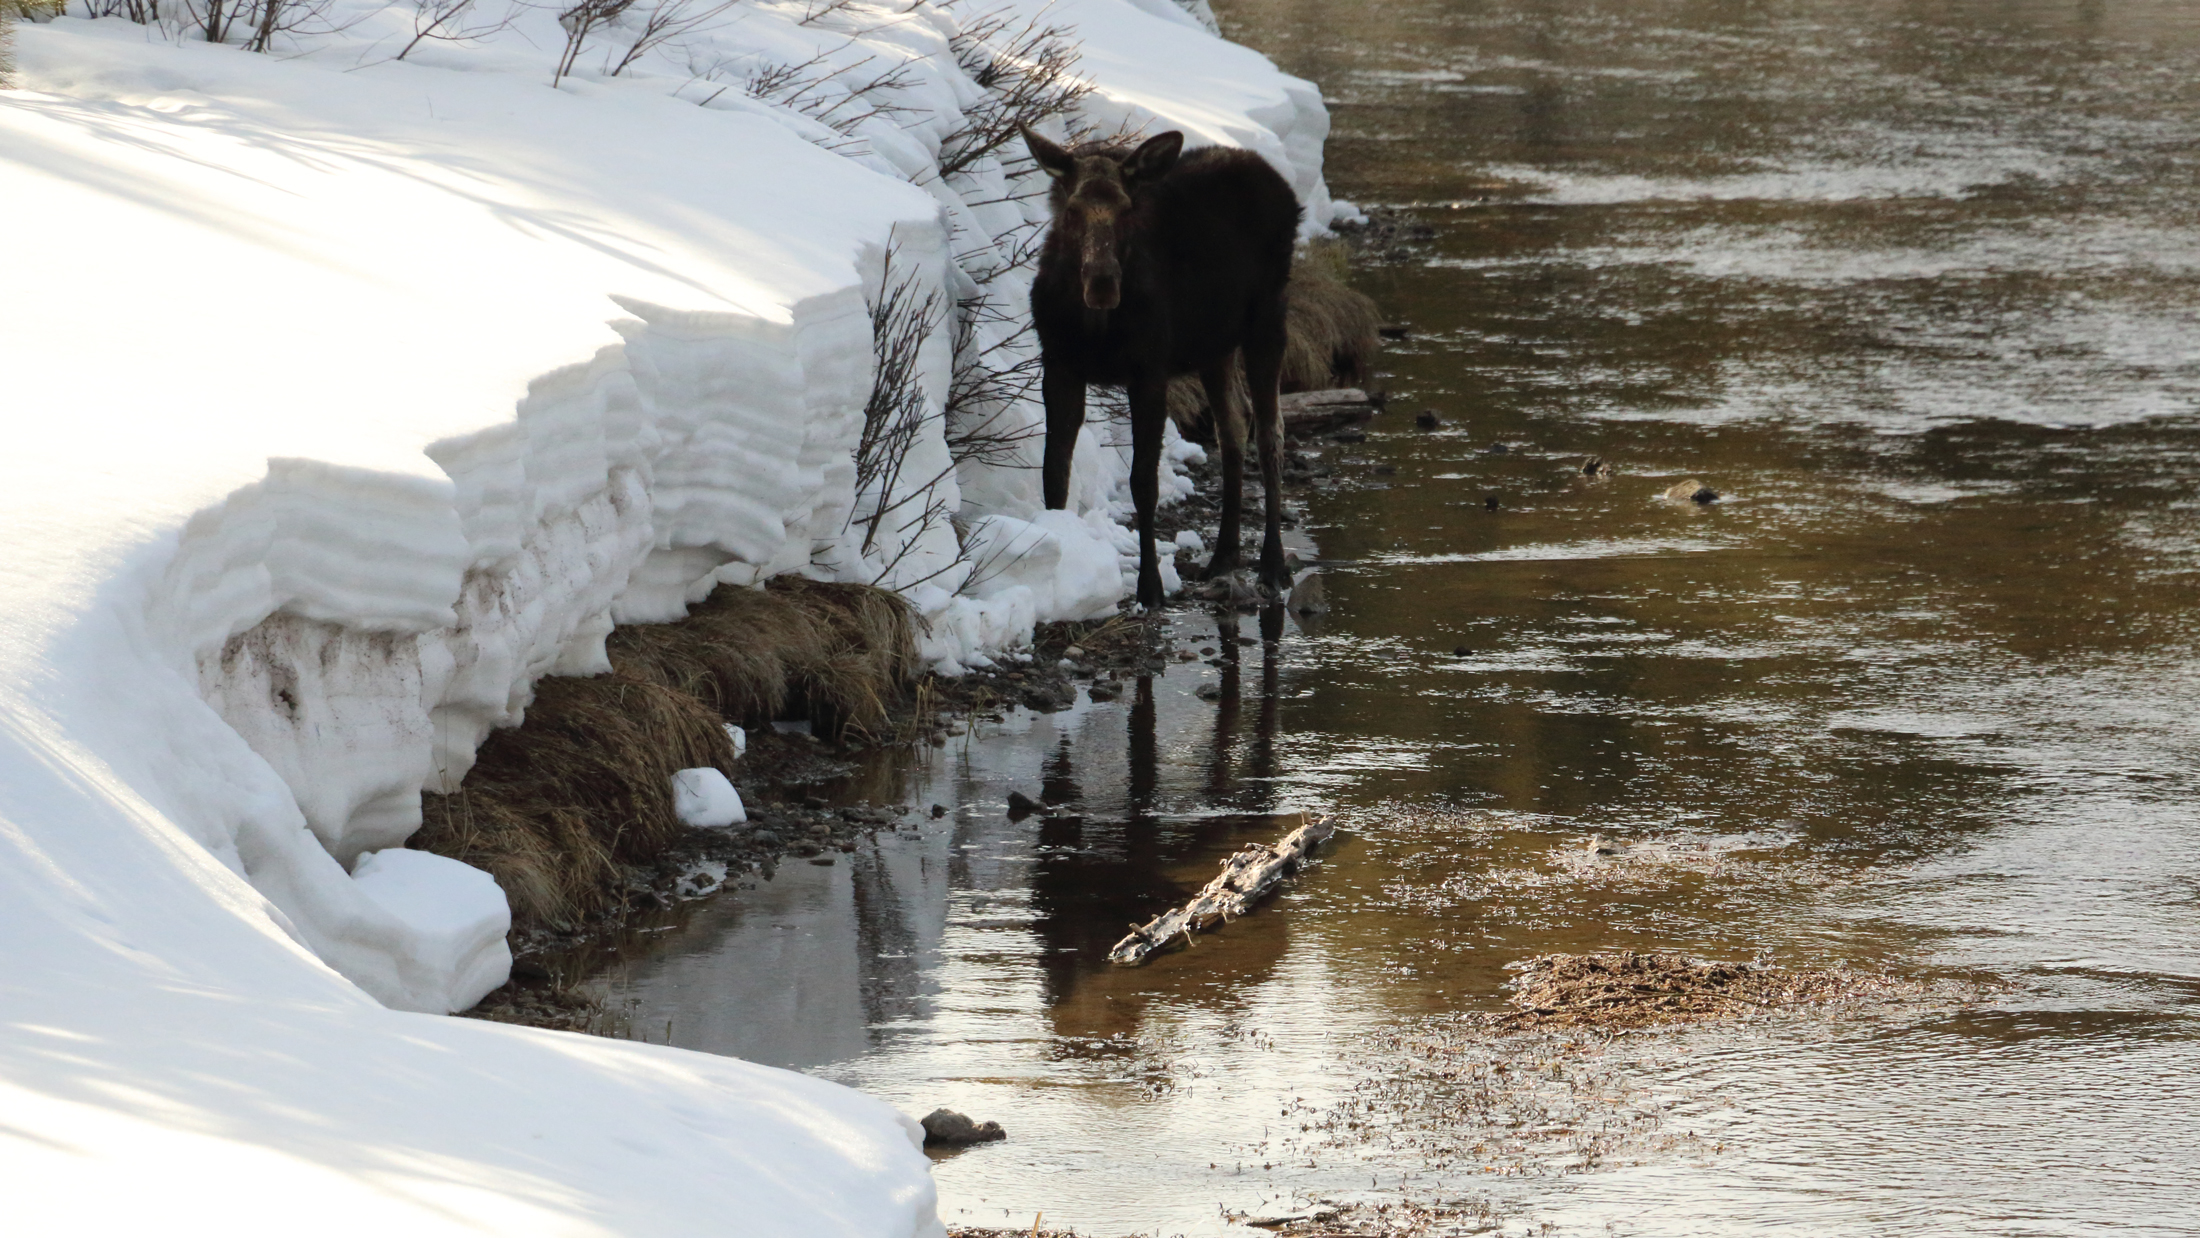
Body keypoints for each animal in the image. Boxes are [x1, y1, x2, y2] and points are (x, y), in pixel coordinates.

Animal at [1025, 125, 1311, 611]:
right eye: (1072, 210)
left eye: (1126, 210)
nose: (1102, 283)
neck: (1095, 327)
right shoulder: (1059, 366)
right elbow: (1053, 475)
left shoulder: (1149, 371)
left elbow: (1144, 481)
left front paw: (1150, 587)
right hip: (1216, 345)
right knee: (1233, 424)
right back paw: (1223, 555)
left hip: (1268, 317)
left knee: (1271, 432)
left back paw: (1271, 565)